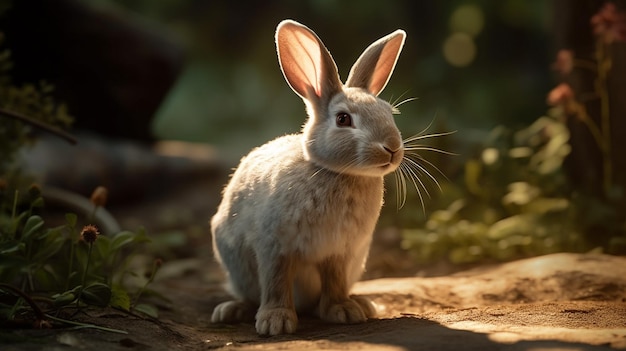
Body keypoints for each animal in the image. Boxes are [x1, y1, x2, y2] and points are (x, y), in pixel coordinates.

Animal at [210, 18, 404, 336]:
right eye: (343, 119)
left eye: (389, 113)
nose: (392, 149)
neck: (334, 172)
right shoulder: (274, 246)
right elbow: (276, 282)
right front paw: (275, 322)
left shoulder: (340, 252)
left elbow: (335, 282)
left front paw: (344, 311)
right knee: (250, 294)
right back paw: (232, 311)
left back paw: (363, 304)